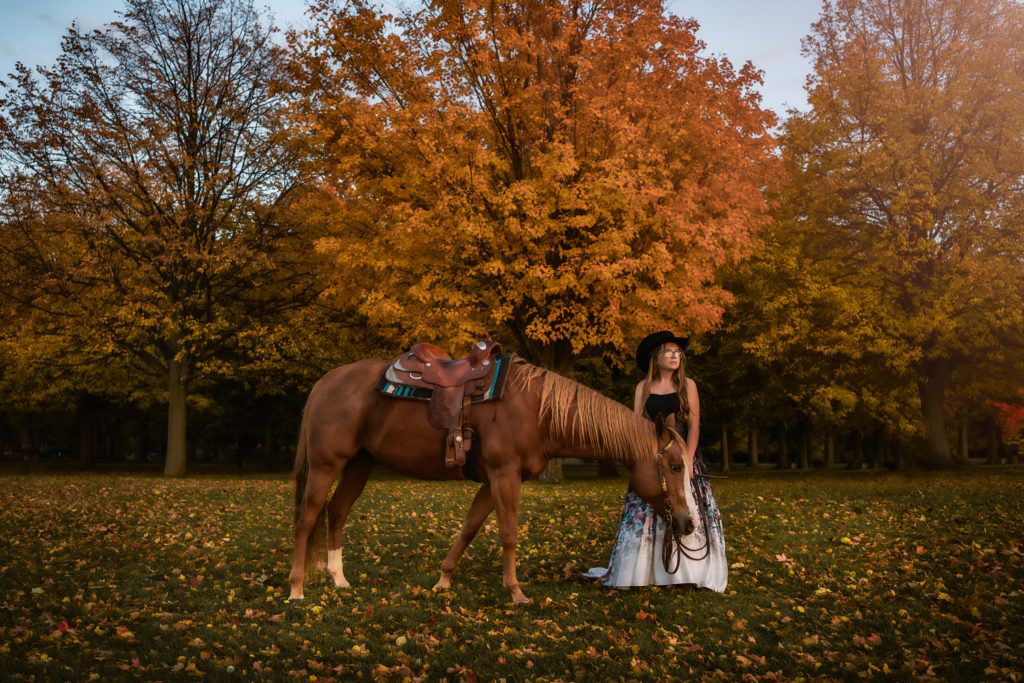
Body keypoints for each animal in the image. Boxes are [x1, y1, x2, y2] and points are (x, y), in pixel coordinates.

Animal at [292, 352, 700, 602]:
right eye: (675, 467)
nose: (687, 524)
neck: (536, 409)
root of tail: (326, 382)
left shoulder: (491, 483)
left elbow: (469, 529)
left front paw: (443, 580)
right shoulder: (505, 477)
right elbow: (508, 534)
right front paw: (515, 591)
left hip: (358, 464)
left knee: (337, 512)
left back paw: (339, 579)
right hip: (326, 465)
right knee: (308, 517)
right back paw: (296, 589)